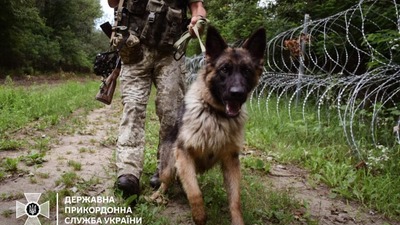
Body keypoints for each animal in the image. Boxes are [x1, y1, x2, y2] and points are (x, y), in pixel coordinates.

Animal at [153, 26, 266, 225]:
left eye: (246, 70)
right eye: (224, 69)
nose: (237, 93)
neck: (216, 115)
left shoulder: (231, 161)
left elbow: (235, 201)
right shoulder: (184, 155)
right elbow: (195, 193)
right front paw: (200, 216)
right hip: (169, 165)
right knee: (166, 181)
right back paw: (157, 195)